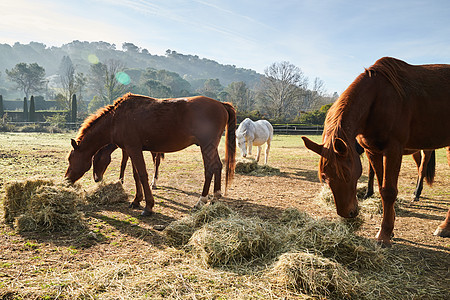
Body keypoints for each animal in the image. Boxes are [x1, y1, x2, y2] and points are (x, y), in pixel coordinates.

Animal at [66, 94, 239, 216]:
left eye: (70, 159)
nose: (67, 179)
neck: (116, 119)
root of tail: (221, 104)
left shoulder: (133, 149)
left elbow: (142, 175)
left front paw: (148, 206)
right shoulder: (132, 150)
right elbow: (136, 174)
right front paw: (136, 200)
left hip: (206, 146)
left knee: (210, 168)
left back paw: (201, 200)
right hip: (211, 147)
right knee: (217, 166)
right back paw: (215, 197)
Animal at [300, 57, 450, 245]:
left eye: (347, 175)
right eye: (325, 177)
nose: (347, 213)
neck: (377, 99)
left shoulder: (393, 150)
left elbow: (389, 191)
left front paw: (384, 234)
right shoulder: (373, 151)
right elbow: (380, 187)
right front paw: (389, 228)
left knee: (422, 168)